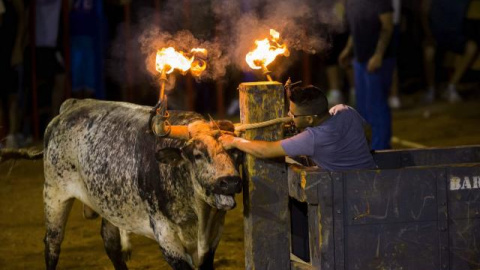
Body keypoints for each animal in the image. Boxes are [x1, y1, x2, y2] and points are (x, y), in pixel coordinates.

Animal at [43, 99, 242, 270]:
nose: (230, 182)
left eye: (234, 152)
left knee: (111, 243)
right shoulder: (166, 238)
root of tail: (71, 105)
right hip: (54, 195)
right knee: (52, 243)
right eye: (197, 154)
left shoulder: (213, 239)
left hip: (109, 204)